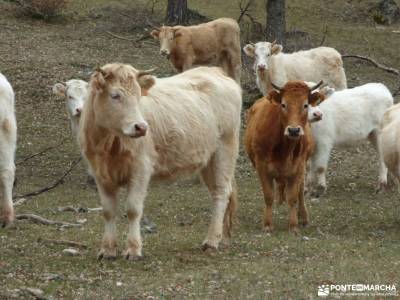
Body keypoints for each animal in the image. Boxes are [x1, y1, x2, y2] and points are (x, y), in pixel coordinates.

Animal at [78, 63, 241, 260]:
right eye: (115, 95)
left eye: (139, 95)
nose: (141, 127)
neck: (109, 143)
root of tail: (215, 71)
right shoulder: (100, 174)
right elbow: (108, 211)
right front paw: (108, 250)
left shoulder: (141, 169)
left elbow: (133, 209)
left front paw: (133, 249)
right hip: (208, 160)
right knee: (221, 192)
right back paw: (222, 238)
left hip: (225, 149)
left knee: (221, 193)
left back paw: (211, 241)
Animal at [244, 81, 324, 233]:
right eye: (283, 105)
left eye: (305, 105)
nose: (293, 130)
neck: (284, 149)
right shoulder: (261, 166)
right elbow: (268, 195)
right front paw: (267, 224)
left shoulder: (299, 166)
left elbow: (293, 196)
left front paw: (293, 225)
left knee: (300, 191)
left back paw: (303, 217)